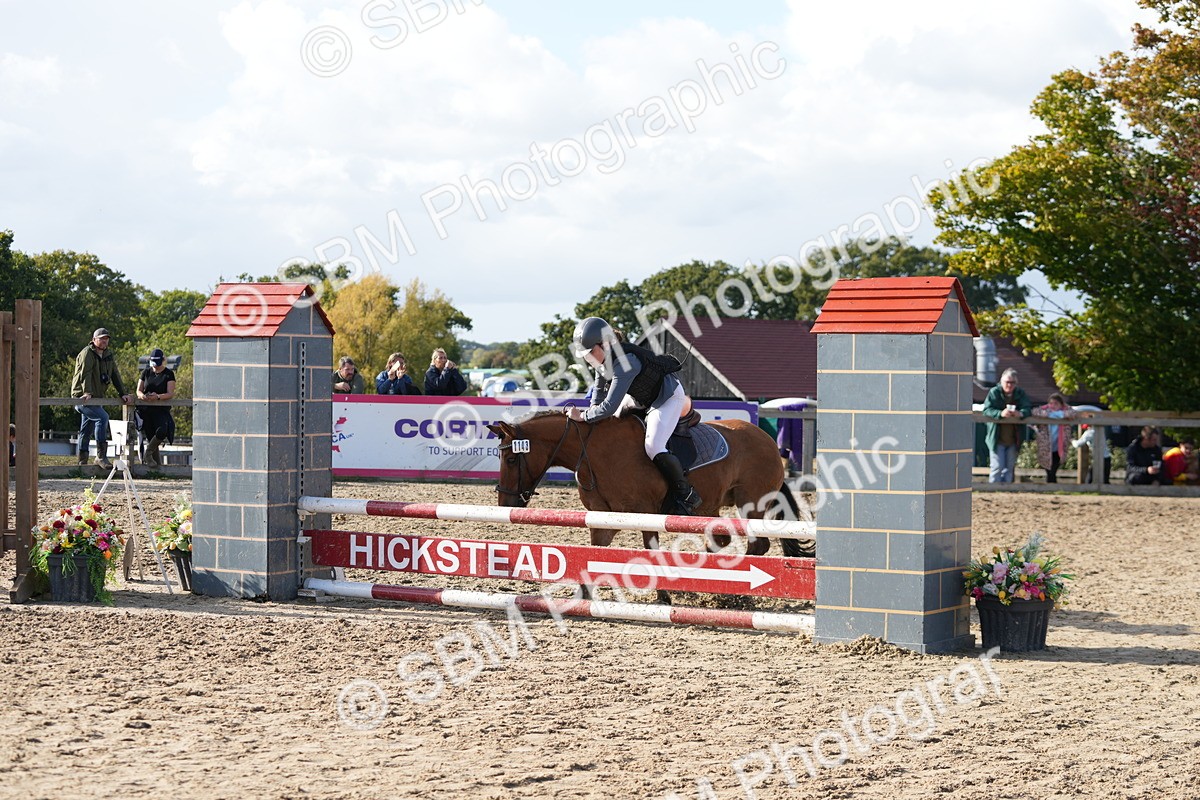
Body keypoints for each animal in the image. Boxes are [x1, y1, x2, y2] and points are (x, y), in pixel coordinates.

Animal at [486, 410, 814, 566]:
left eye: (512, 458)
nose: (505, 504)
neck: (593, 452)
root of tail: (769, 441)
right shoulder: (602, 520)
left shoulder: (646, 512)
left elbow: (651, 549)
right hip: (713, 505)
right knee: (722, 540)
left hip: (751, 504)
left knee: (757, 546)